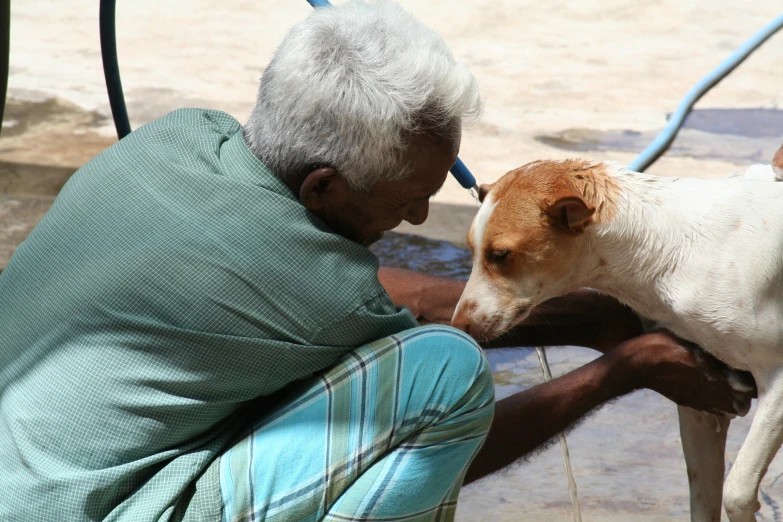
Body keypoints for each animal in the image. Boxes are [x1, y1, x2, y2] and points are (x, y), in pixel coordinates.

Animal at [454, 147, 783, 520]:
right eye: (472, 250)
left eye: (500, 255)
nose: (458, 325)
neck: (665, 245)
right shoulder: (703, 396)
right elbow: (703, 496)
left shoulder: (778, 380)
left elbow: (737, 493)